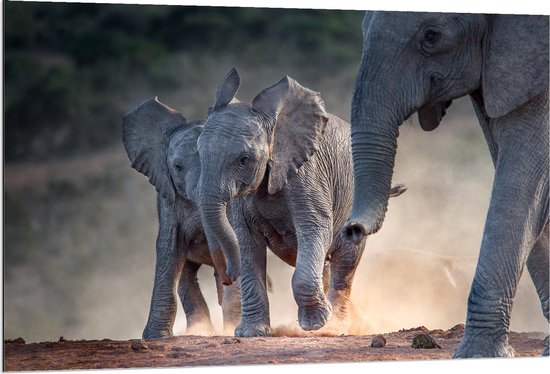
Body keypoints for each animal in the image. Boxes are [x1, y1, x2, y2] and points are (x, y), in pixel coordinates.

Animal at [124, 98, 243, 338]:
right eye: (177, 167)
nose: (228, 276)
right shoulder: (167, 198)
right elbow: (169, 248)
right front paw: (155, 337)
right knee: (186, 275)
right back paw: (200, 329)